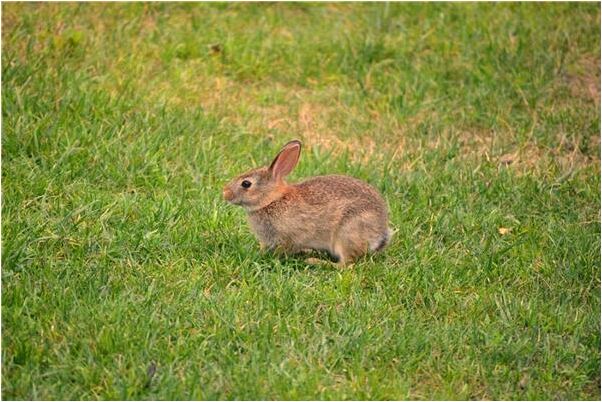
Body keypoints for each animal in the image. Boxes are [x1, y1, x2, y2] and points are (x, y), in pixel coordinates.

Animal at [221, 140, 390, 266]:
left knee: (346, 264)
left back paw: (315, 261)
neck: (272, 200)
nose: (225, 193)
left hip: (348, 233)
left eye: (246, 184)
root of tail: (380, 233)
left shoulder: (288, 236)